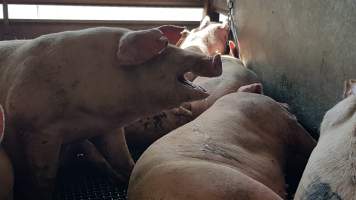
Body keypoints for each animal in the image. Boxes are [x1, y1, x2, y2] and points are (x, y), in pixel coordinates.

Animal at [0, 26, 222, 200]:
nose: (217, 58)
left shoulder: (107, 129)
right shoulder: (38, 129)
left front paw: (129, 175)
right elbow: (44, 178)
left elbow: (123, 158)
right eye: (166, 51)